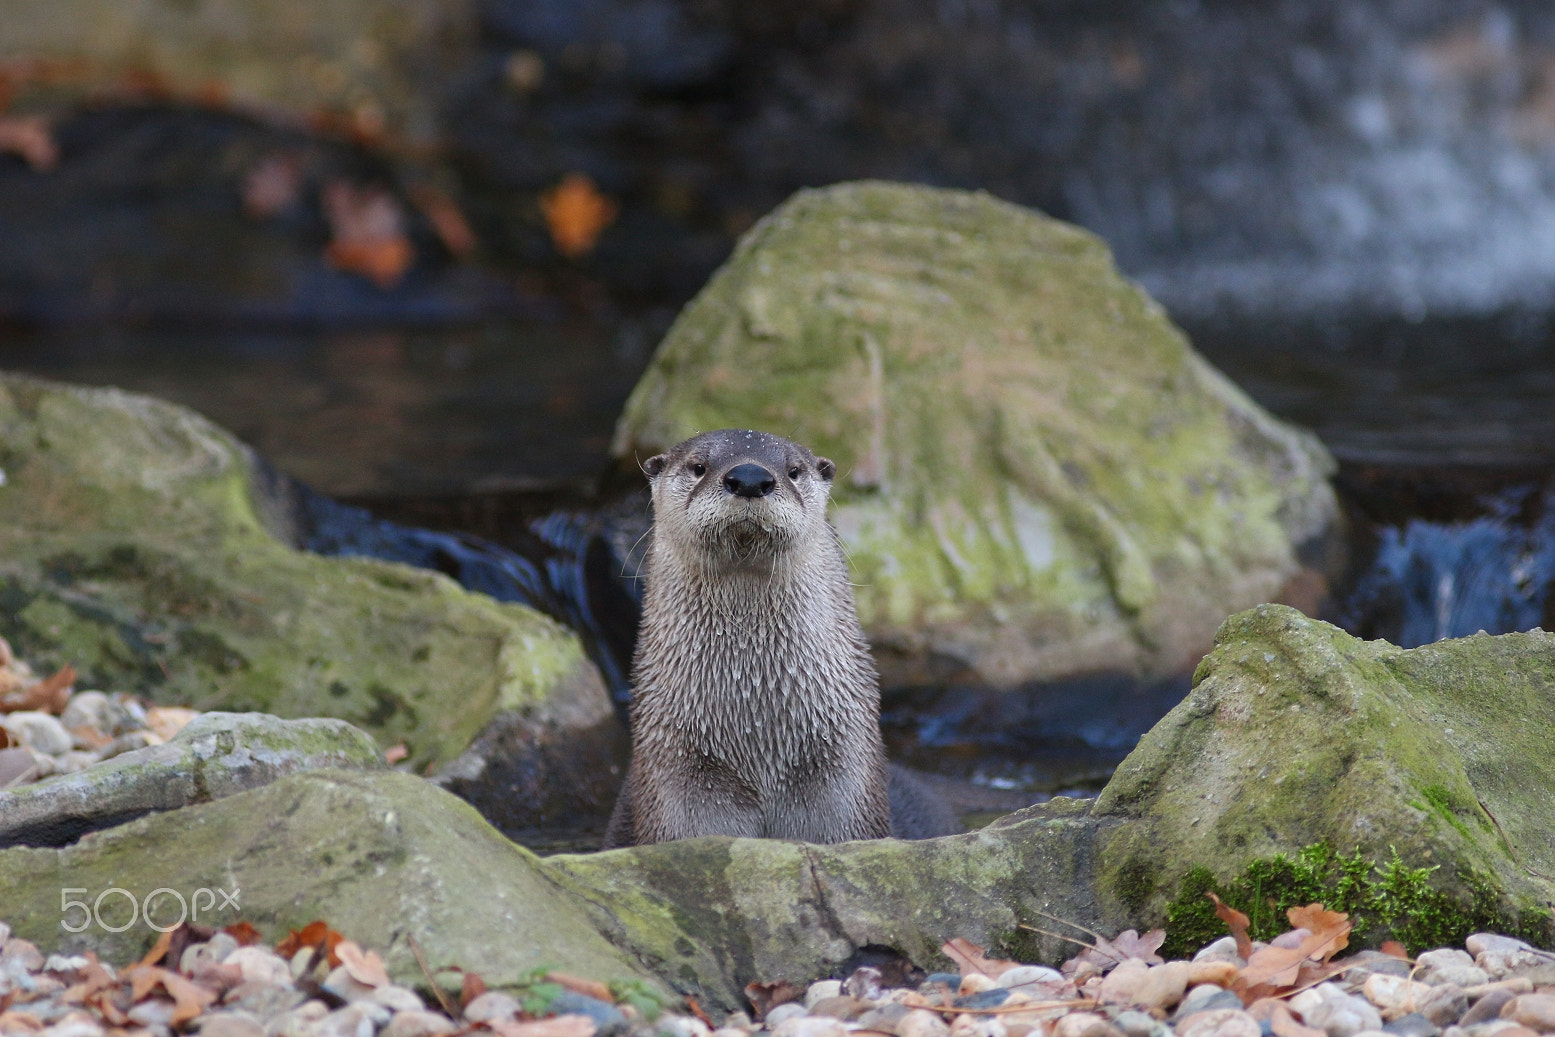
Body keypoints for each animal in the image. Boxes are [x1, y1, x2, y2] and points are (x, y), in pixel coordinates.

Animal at [603, 429, 945, 845]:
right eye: (698, 466)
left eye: (793, 470)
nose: (750, 477)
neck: (757, 741)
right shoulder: (680, 782)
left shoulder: (843, 782)